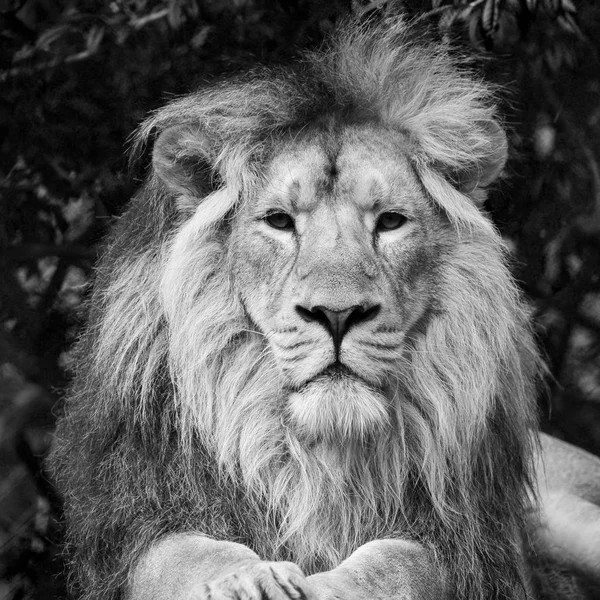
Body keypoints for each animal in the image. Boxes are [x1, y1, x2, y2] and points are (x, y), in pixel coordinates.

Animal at [50, 15, 600, 600]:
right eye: (279, 220)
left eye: (390, 222)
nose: (337, 315)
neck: (315, 456)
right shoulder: (140, 512)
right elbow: (188, 552)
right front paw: (248, 579)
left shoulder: (463, 542)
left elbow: (396, 562)